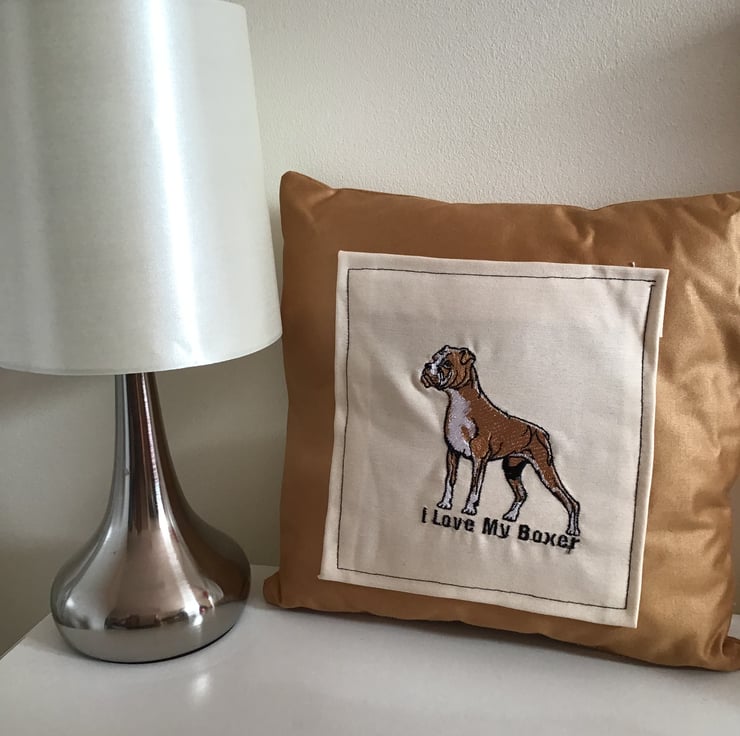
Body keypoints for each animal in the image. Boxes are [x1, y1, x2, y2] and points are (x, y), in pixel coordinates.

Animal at [420, 345, 580, 536]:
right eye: (433, 358)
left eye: (446, 363)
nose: (427, 365)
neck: (460, 404)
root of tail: (542, 432)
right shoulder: (452, 453)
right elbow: (449, 480)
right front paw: (445, 504)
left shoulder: (479, 459)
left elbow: (474, 486)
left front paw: (469, 509)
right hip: (511, 469)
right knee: (522, 494)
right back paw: (511, 516)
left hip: (544, 470)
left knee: (571, 501)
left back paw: (572, 530)